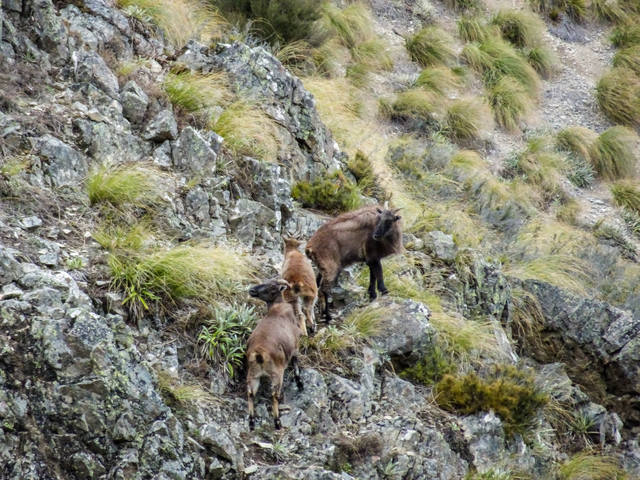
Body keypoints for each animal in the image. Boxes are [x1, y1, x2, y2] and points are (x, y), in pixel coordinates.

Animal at [246, 278, 304, 432]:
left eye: (271, 286)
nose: (252, 290)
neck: (277, 309)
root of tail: (259, 354)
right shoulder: (295, 345)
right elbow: (295, 362)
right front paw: (299, 383)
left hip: (253, 374)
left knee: (250, 393)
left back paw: (252, 422)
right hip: (277, 374)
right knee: (274, 395)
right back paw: (277, 422)